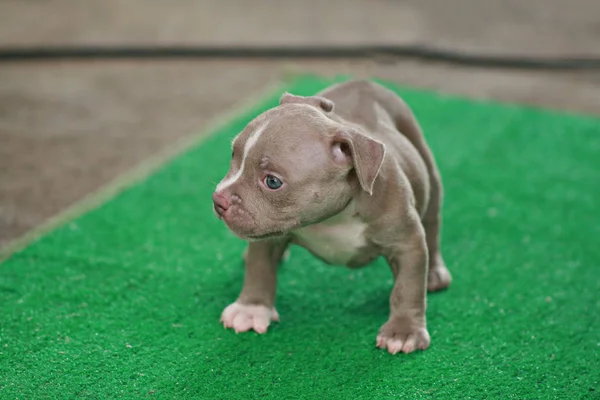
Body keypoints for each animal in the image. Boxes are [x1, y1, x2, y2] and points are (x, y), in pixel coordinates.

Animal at [211, 79, 450, 354]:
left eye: (272, 181)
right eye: (234, 156)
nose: (218, 199)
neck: (334, 217)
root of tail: (364, 83)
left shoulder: (406, 242)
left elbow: (407, 287)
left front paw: (403, 332)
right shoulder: (268, 236)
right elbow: (259, 267)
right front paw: (251, 308)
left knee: (432, 225)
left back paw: (434, 273)